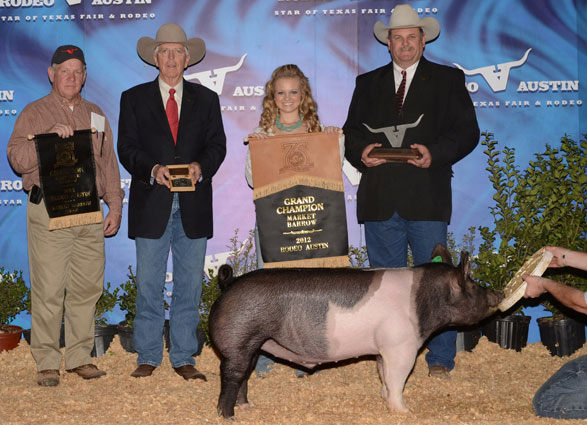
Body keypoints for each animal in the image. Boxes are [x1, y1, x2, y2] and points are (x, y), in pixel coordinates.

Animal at [209, 243, 504, 420]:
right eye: (473, 285)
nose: (498, 293)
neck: (425, 301)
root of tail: (229, 282)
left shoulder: (383, 350)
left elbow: (385, 377)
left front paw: (386, 401)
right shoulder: (401, 346)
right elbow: (398, 379)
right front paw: (405, 412)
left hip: (253, 345)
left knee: (243, 377)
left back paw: (246, 408)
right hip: (239, 339)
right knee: (232, 377)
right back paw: (228, 416)